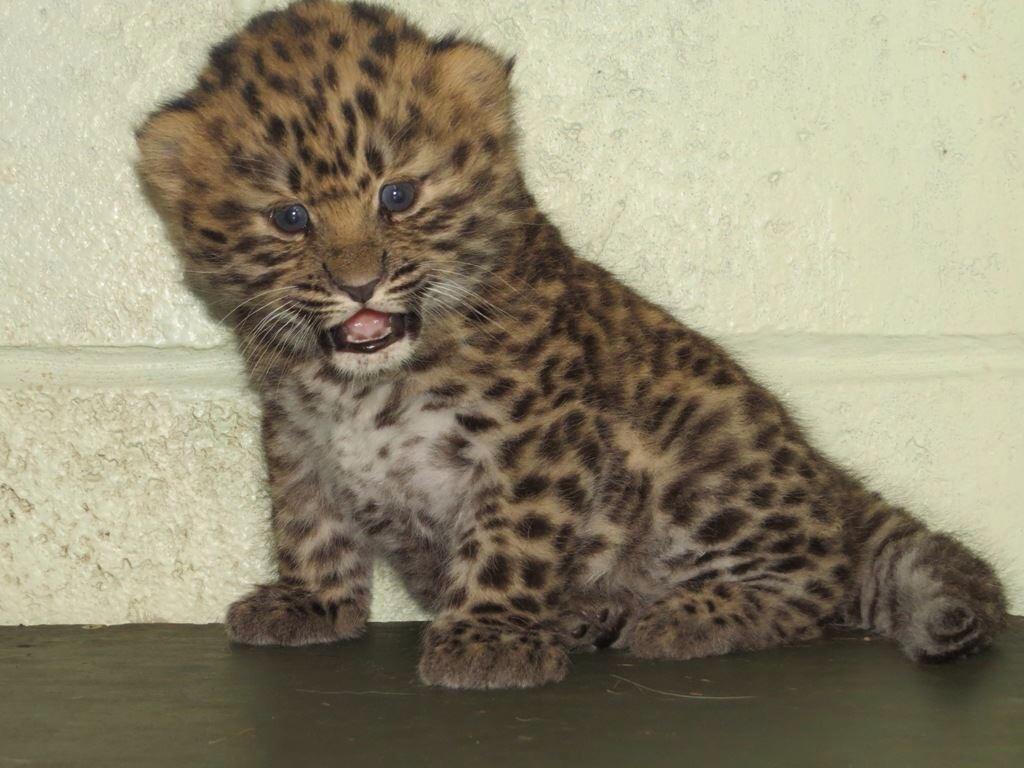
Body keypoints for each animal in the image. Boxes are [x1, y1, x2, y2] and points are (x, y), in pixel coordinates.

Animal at [135, 0, 1007, 688]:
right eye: (290, 217)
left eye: (398, 195)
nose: (360, 284)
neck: (361, 382)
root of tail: (834, 482)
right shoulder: (296, 436)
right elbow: (308, 524)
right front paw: (313, 601)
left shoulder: (533, 433)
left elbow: (509, 538)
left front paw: (487, 638)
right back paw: (592, 613)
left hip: (710, 463)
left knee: (814, 582)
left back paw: (683, 615)